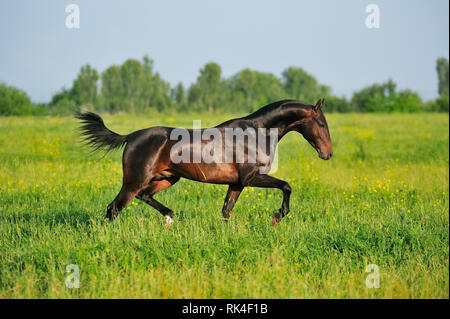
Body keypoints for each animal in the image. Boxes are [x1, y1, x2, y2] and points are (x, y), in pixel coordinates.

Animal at [75, 99, 332, 226]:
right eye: (321, 123)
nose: (328, 153)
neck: (255, 133)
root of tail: (130, 136)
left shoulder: (237, 183)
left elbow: (226, 211)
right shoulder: (251, 178)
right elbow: (286, 186)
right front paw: (277, 217)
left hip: (167, 178)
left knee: (144, 196)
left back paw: (169, 217)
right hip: (134, 181)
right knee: (114, 208)